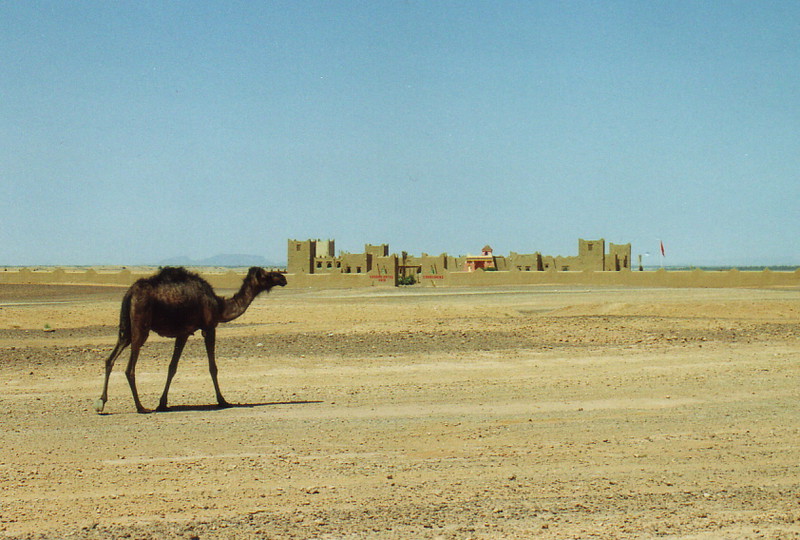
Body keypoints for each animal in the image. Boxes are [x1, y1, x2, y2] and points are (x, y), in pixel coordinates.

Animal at [94, 266, 288, 414]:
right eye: (267, 275)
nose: (283, 278)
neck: (219, 306)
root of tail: (130, 293)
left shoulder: (184, 332)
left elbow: (172, 367)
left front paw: (162, 403)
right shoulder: (208, 328)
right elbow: (212, 367)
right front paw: (222, 400)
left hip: (126, 328)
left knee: (110, 359)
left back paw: (101, 402)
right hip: (140, 325)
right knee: (130, 368)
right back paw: (140, 407)